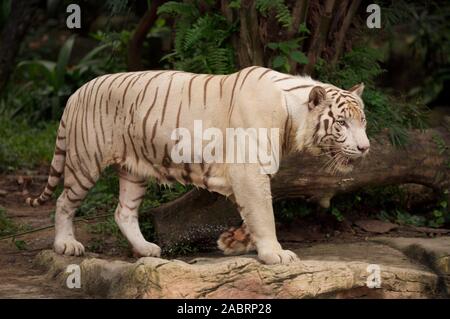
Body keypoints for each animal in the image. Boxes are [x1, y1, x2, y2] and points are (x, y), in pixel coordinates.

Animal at [25, 67, 370, 264]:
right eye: (341, 123)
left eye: (363, 121)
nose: (365, 148)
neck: (291, 119)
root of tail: (75, 93)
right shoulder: (249, 170)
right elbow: (264, 214)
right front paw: (275, 254)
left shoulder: (248, 175)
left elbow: (251, 213)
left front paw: (233, 242)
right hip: (86, 162)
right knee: (63, 202)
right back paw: (66, 245)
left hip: (135, 170)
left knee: (123, 212)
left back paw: (146, 249)